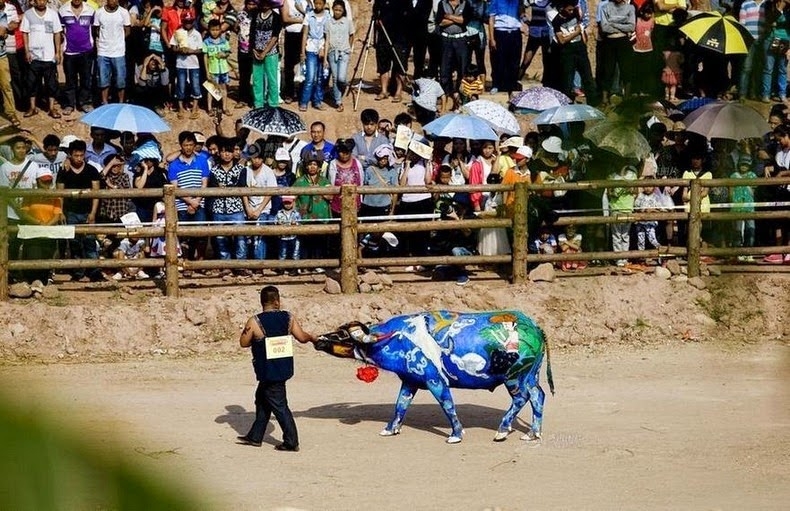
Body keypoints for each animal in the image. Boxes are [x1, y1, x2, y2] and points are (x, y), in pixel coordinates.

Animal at [316, 310, 556, 446]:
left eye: (342, 335)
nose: (318, 340)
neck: (400, 337)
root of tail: (535, 327)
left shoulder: (435, 381)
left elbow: (447, 406)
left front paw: (456, 434)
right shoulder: (410, 381)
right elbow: (400, 405)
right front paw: (390, 429)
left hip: (514, 378)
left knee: (521, 398)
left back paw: (502, 431)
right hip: (530, 376)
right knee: (538, 396)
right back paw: (533, 433)